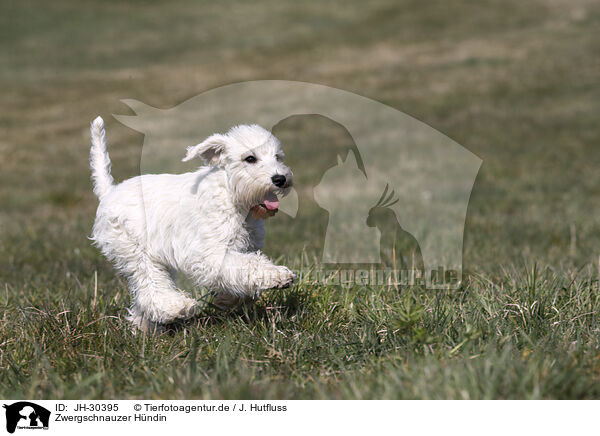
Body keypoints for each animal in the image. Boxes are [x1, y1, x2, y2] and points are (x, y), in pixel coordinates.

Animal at [89, 116, 296, 330]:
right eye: (250, 159)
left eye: (278, 157)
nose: (280, 179)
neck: (231, 195)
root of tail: (109, 193)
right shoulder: (208, 254)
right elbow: (249, 265)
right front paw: (278, 275)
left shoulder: (243, 248)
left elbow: (242, 274)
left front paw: (227, 300)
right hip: (137, 253)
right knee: (152, 290)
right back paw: (179, 308)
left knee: (144, 299)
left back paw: (146, 330)